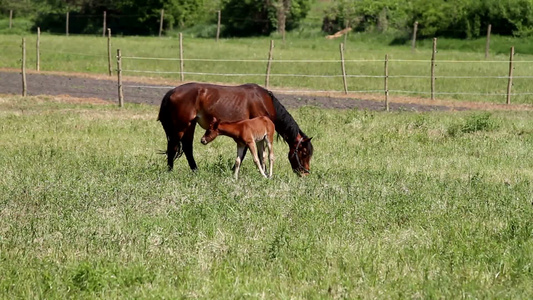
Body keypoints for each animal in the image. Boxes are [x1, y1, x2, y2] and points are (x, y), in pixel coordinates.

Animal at [158, 82, 314, 176]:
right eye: (304, 153)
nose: (305, 172)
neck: (264, 101)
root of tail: (171, 92)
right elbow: (257, 154)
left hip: (190, 125)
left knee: (186, 147)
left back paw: (194, 171)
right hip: (182, 126)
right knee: (174, 148)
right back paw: (171, 171)